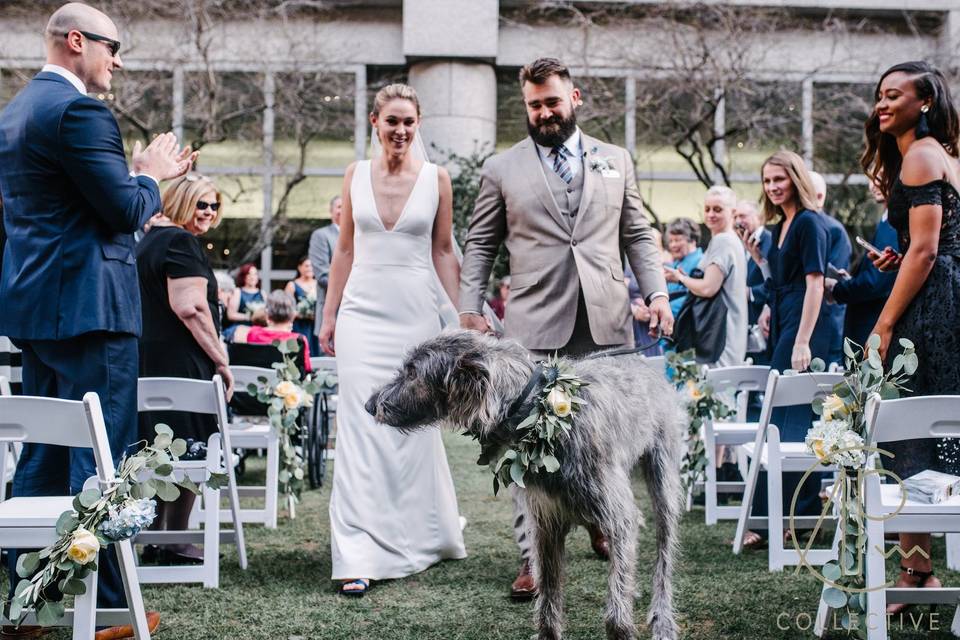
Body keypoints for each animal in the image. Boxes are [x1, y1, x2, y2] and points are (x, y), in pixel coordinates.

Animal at [364, 330, 688, 640]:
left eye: (412, 372)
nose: (369, 405)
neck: (537, 413)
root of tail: (645, 363)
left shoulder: (619, 516)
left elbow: (615, 604)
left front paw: (622, 626)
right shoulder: (545, 521)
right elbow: (548, 595)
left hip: (663, 480)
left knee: (663, 557)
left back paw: (662, 620)